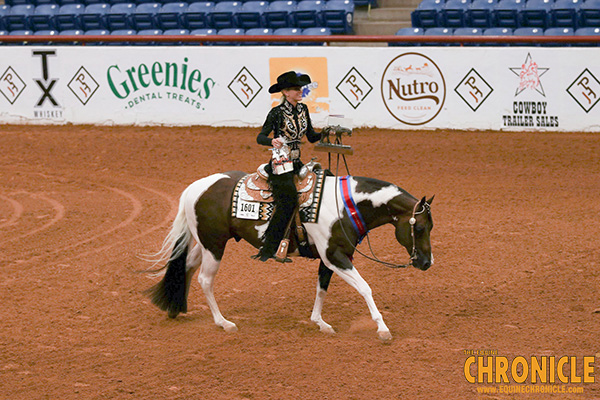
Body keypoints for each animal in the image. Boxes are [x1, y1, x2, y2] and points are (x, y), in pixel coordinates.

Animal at [147, 172, 434, 340]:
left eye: (430, 227)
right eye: (419, 228)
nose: (427, 263)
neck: (343, 205)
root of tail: (194, 187)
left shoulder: (332, 257)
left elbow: (322, 288)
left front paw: (320, 323)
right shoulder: (335, 256)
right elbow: (365, 288)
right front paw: (382, 328)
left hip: (206, 244)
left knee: (187, 265)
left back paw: (174, 307)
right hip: (214, 246)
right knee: (205, 280)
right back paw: (223, 323)